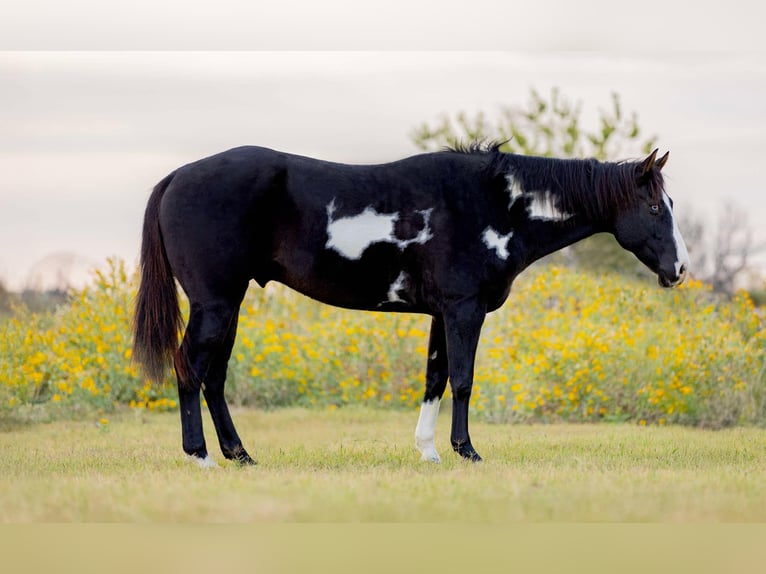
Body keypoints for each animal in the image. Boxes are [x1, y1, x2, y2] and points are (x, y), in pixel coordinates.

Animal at [132, 143, 689, 466]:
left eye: (669, 204)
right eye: (653, 207)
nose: (680, 269)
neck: (493, 202)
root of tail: (176, 177)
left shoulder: (442, 314)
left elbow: (435, 379)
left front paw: (429, 452)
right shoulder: (464, 309)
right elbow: (462, 380)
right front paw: (467, 452)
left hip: (228, 305)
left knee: (213, 377)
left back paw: (239, 455)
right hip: (215, 304)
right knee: (190, 369)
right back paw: (200, 456)